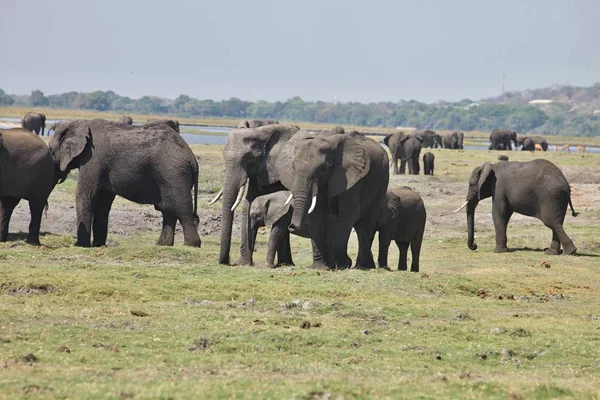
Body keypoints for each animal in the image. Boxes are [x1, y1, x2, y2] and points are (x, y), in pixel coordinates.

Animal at [49, 119, 199, 247]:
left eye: (50, 150)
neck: (80, 123)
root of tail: (192, 159)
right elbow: (103, 203)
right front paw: (98, 245)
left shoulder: (93, 158)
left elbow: (86, 195)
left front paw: (81, 246)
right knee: (168, 211)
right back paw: (162, 245)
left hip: (174, 173)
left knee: (182, 210)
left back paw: (191, 245)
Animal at [276, 130, 390, 270]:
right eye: (293, 166)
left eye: (323, 169)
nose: (291, 226)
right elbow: (315, 216)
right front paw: (320, 267)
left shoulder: (351, 180)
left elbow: (347, 215)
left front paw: (343, 265)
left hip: (382, 183)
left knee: (367, 225)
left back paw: (362, 266)